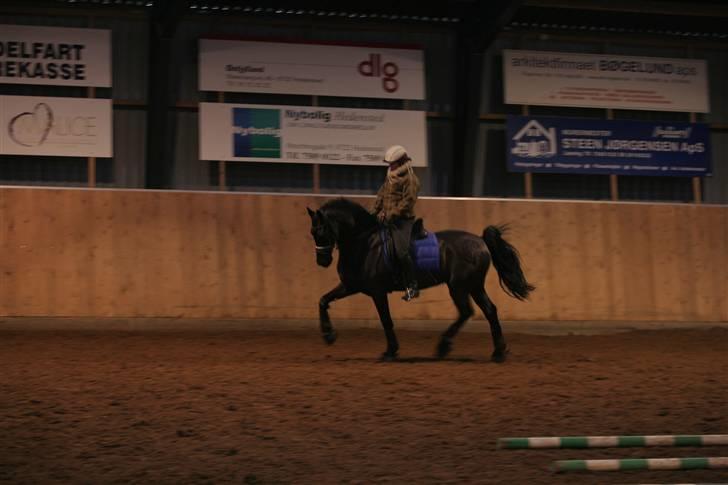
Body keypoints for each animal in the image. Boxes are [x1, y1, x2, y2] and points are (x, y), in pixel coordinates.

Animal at [308, 197, 536, 360]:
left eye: (322, 231)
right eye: (312, 232)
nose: (322, 261)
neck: (365, 243)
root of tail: (480, 241)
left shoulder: (377, 291)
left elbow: (385, 320)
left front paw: (390, 351)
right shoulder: (350, 285)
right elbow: (323, 300)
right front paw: (328, 335)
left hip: (459, 286)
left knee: (466, 312)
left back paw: (443, 347)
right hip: (474, 286)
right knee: (489, 310)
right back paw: (498, 352)